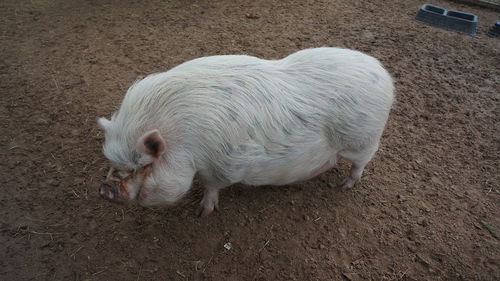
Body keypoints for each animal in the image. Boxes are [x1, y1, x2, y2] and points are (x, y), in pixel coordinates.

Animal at [96, 47, 394, 215]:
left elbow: (212, 185)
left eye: (145, 166)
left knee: (361, 163)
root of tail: (383, 73)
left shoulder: (228, 163)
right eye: (114, 163)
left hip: (363, 138)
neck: (184, 139)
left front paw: (203, 212)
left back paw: (345, 185)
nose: (105, 189)